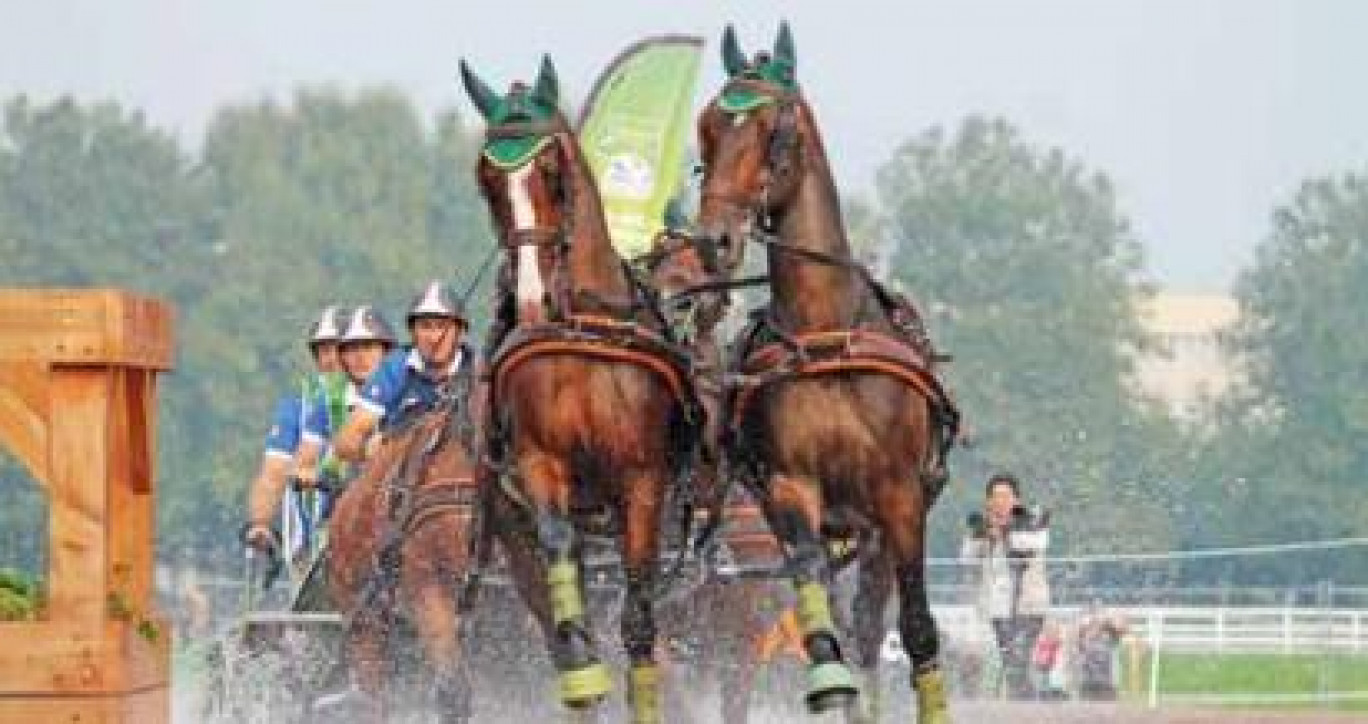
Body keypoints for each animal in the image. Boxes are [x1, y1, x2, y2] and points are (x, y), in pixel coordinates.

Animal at [462, 57, 700, 722]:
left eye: (553, 169)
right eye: (487, 179)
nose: (531, 298)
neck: (581, 333)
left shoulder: (642, 484)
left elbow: (640, 623)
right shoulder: (540, 470)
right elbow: (569, 610)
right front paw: (584, 676)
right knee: (557, 626)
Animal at [689, 22, 957, 722]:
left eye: (773, 130)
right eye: (707, 127)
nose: (713, 240)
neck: (826, 335)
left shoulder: (900, 495)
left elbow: (916, 629)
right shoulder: (791, 488)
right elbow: (812, 592)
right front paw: (827, 678)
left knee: (870, 623)